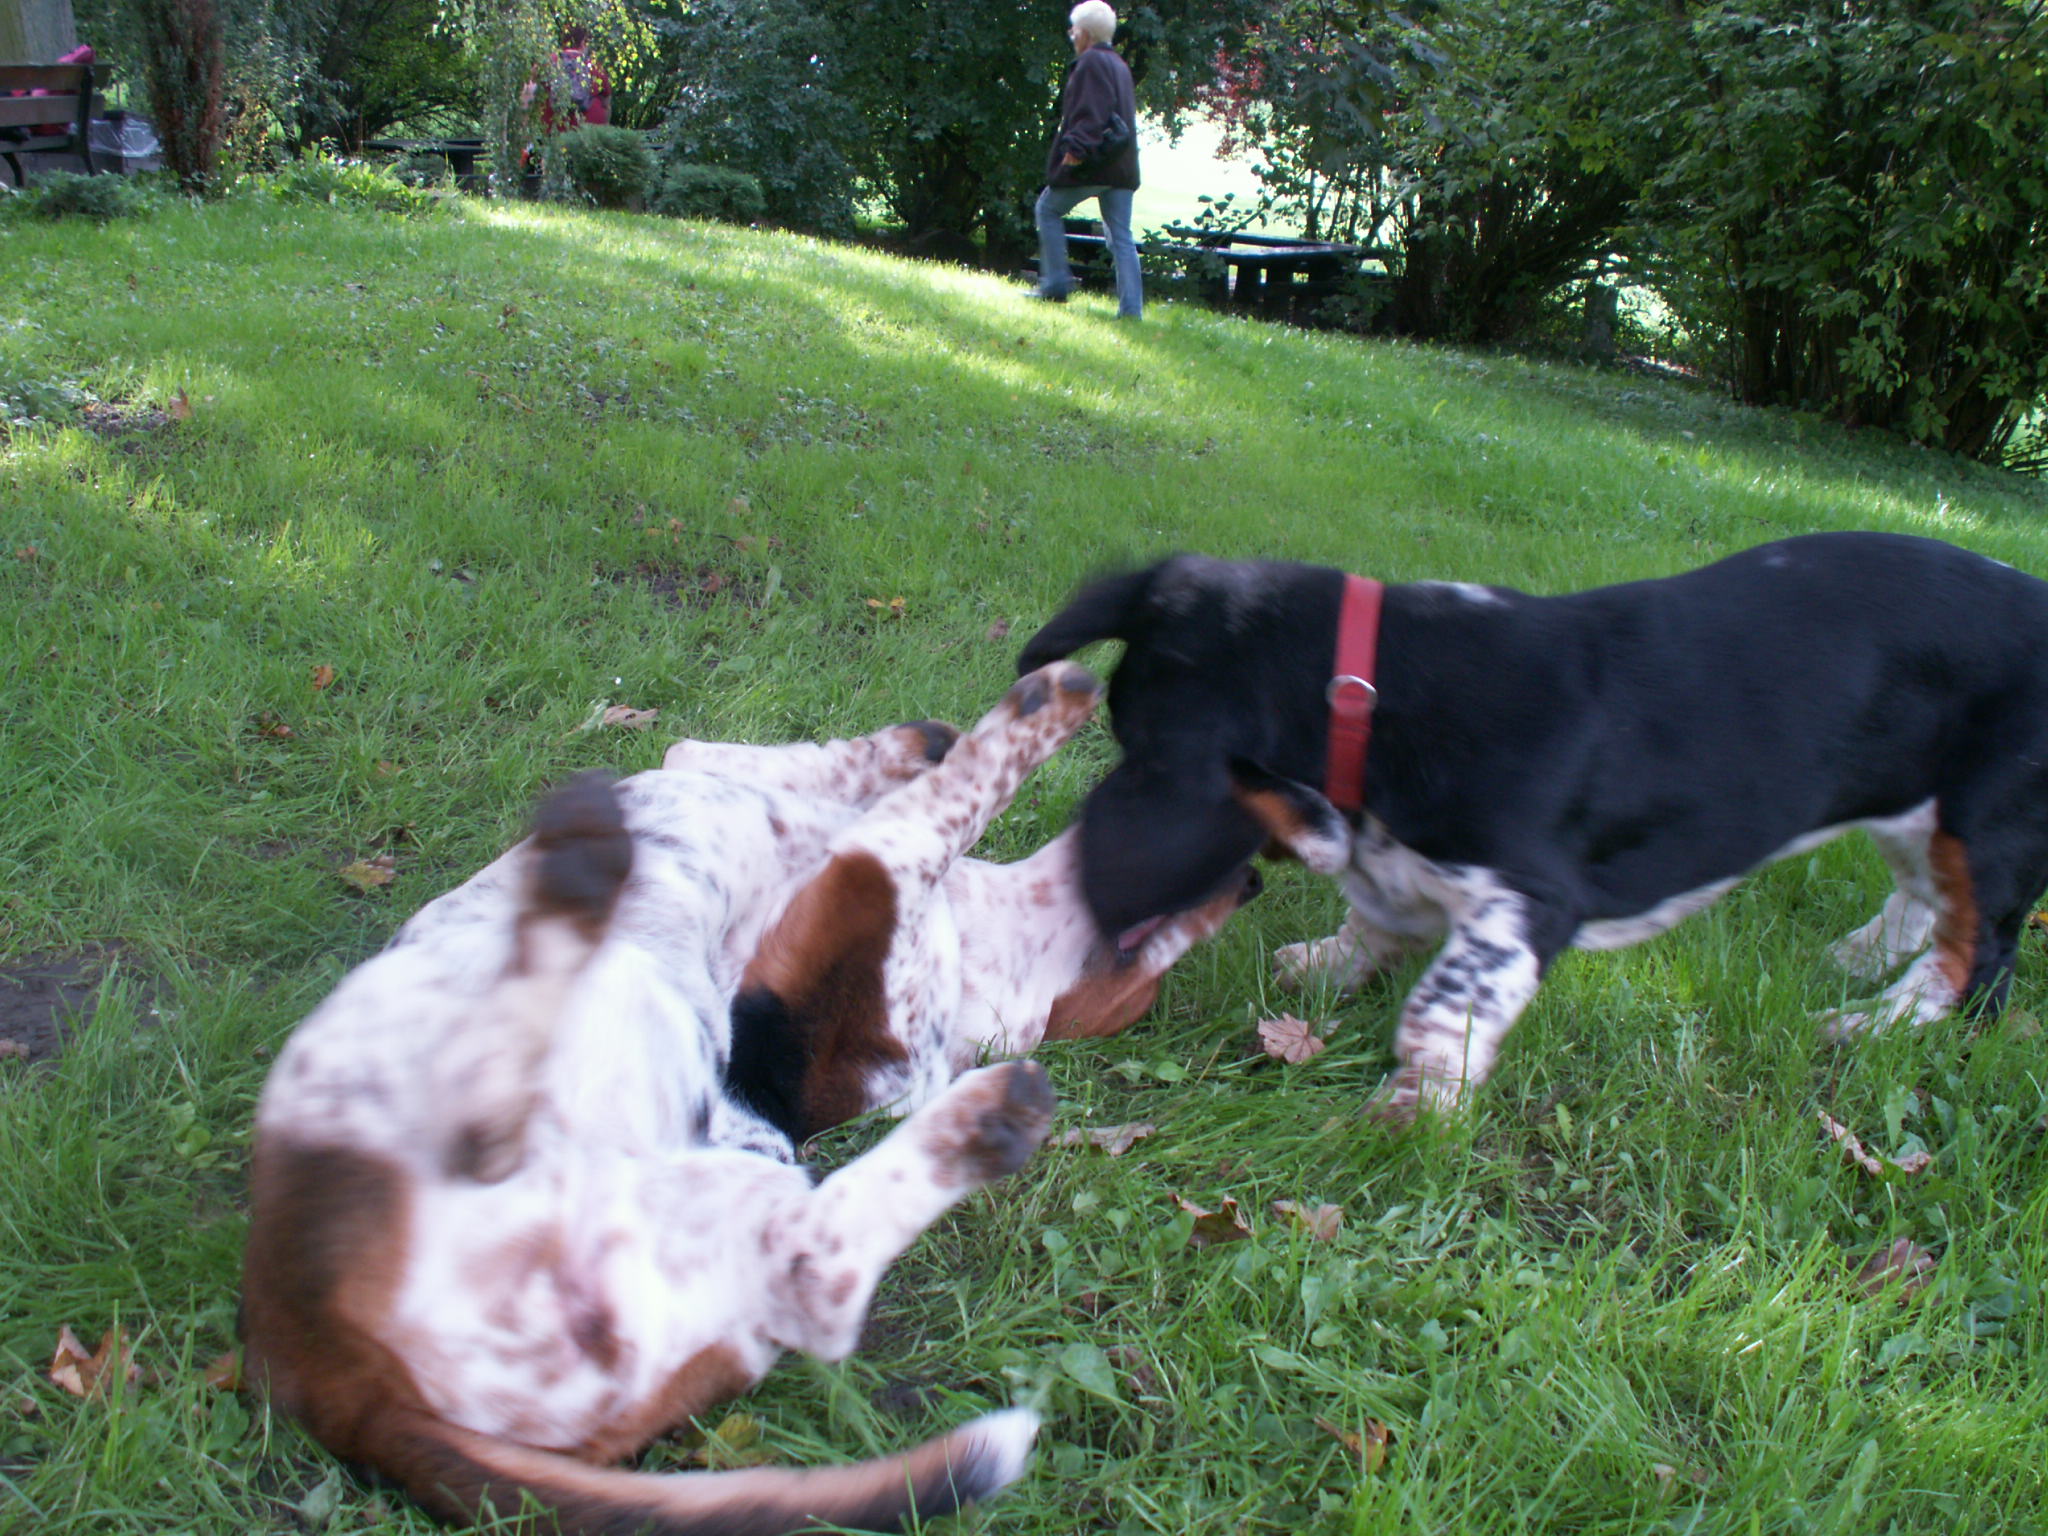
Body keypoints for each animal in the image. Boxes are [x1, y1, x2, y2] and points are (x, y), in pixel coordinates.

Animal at [241, 663, 1248, 1536]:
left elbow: (886, 838)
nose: (1255, 873)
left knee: (809, 1273)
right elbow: (772, 771)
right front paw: (928, 742)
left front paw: (1009, 725)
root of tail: (331, 1381)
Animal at [1017, 531, 2048, 1121]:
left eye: (1138, 751)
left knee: (1977, 962)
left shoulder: (1527, 903)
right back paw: (1856, 960)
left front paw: (1412, 1112)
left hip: (1986, 825)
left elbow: (1443, 1006)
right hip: (1914, 809)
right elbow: (1376, 916)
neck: (1377, 687)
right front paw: (1326, 964)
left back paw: (1874, 1022)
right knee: (1923, 904)